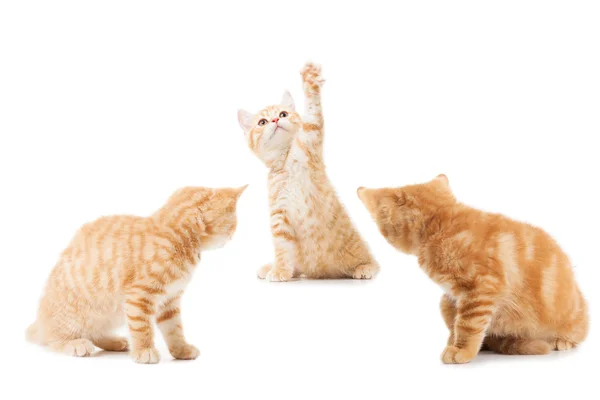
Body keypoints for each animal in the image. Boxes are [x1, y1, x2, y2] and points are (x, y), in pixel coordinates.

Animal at [25, 186, 246, 364]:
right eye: (233, 225)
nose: (232, 237)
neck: (179, 238)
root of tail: (40, 320)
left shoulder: (170, 300)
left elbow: (174, 328)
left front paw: (181, 349)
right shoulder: (139, 296)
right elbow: (142, 327)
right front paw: (144, 350)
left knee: (94, 332)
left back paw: (114, 341)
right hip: (78, 312)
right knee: (54, 337)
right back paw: (74, 344)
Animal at [237, 63, 378, 282]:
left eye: (284, 114)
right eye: (262, 122)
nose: (275, 119)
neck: (286, 161)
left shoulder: (311, 137)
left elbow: (312, 115)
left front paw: (310, 80)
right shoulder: (279, 213)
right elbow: (282, 247)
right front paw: (280, 269)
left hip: (357, 248)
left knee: (372, 261)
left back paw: (365, 268)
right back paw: (273, 267)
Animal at [358, 177, 588, 364]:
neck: (441, 225)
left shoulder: (480, 289)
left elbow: (468, 325)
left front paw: (461, 350)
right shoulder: (453, 298)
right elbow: (456, 324)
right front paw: (455, 343)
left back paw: (561, 340)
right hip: (444, 301)